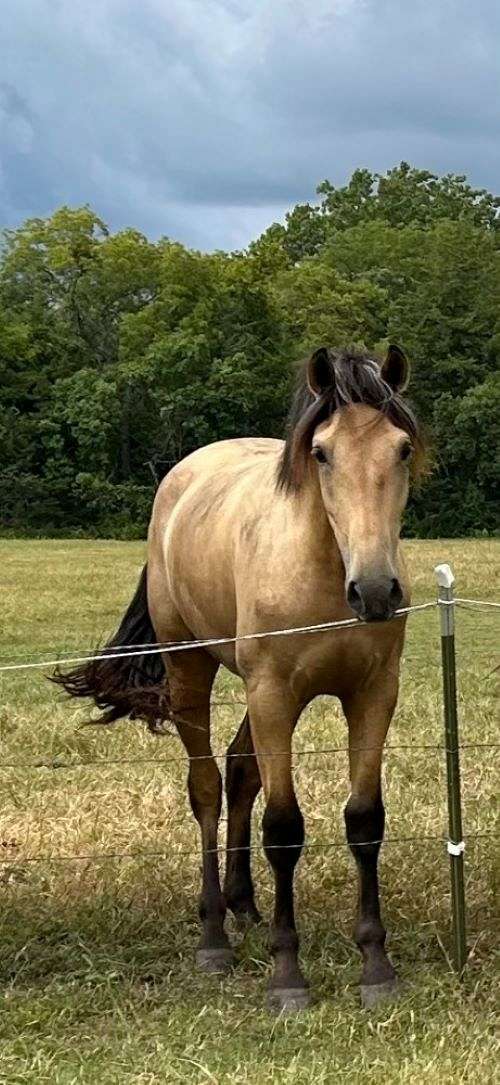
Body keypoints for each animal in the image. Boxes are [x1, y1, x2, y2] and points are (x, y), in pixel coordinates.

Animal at [54, 345, 425, 1012]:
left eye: (402, 448)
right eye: (322, 452)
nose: (376, 591)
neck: (324, 573)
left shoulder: (372, 696)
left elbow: (364, 821)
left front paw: (376, 966)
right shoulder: (274, 694)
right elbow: (284, 828)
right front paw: (288, 975)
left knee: (239, 771)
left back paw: (244, 905)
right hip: (192, 670)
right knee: (204, 787)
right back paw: (214, 935)